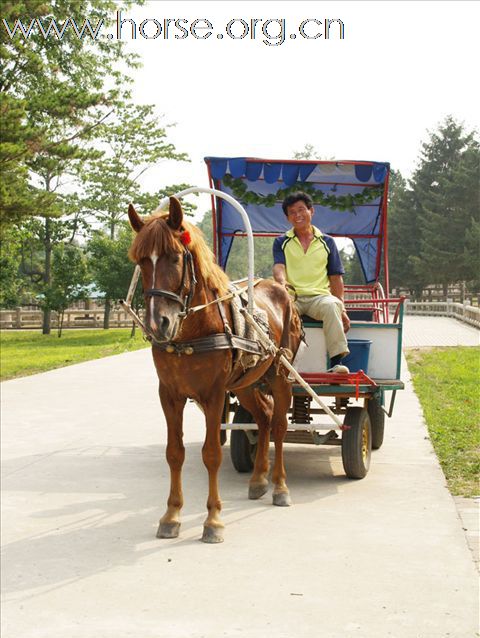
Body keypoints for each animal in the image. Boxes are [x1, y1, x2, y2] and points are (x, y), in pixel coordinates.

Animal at [127, 196, 300, 544]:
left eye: (175, 257)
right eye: (141, 261)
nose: (157, 324)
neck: (192, 332)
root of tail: (279, 289)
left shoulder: (214, 394)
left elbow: (211, 454)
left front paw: (214, 520)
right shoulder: (169, 395)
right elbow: (174, 452)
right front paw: (171, 515)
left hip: (280, 374)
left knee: (278, 425)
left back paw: (279, 486)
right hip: (246, 383)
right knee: (263, 418)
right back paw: (258, 480)